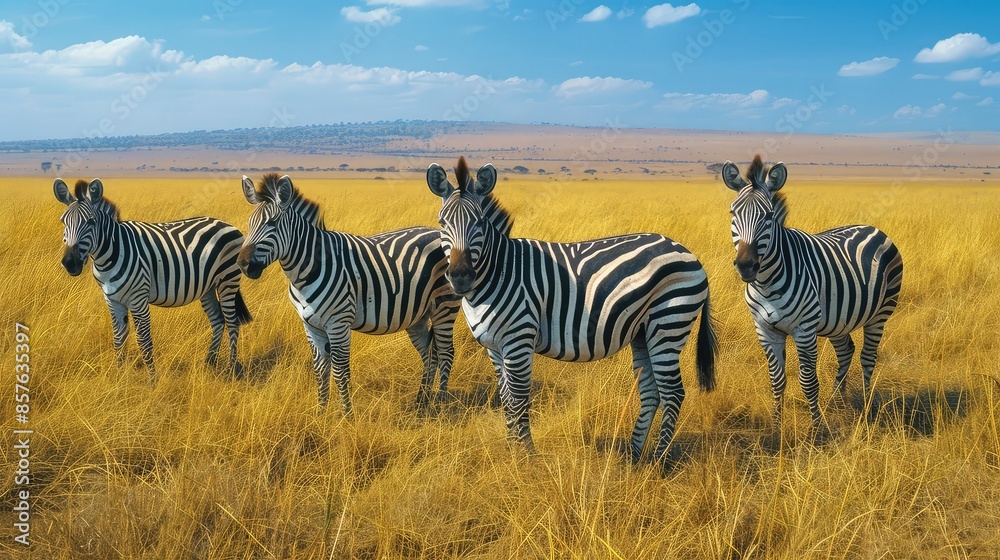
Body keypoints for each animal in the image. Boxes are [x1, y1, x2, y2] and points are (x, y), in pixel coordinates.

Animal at [54, 178, 252, 378]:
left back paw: (231, 368)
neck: (110, 254)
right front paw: (119, 375)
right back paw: (209, 362)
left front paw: (152, 379)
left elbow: (143, 340)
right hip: (208, 287)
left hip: (228, 280)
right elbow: (119, 338)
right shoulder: (112, 299)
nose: (70, 263)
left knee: (232, 322)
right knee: (217, 320)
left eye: (91, 221)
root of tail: (226, 224)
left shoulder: (138, 299)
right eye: (63, 221)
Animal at [236, 173, 462, 412]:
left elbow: (340, 371)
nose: (242, 264)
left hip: (445, 306)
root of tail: (439, 233)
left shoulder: (338, 323)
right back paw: (421, 403)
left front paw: (346, 414)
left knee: (446, 353)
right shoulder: (311, 326)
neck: (306, 270)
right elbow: (320, 370)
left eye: (272, 223)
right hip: (417, 315)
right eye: (249, 223)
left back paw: (441, 405)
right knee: (429, 354)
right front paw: (321, 412)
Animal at [427, 157, 717, 463]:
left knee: (673, 393)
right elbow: (505, 397)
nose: (460, 277)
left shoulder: (519, 338)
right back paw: (634, 457)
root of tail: (691, 254)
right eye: (441, 222)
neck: (499, 270)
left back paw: (659, 463)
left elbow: (518, 398)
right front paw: (511, 450)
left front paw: (526, 455)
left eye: (480, 222)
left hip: (668, 323)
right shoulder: (494, 346)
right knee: (651, 392)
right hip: (644, 331)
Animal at [722, 155, 904, 428]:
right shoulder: (764, 330)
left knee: (868, 357)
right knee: (846, 350)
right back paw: (836, 400)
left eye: (768, 216)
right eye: (733, 213)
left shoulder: (805, 329)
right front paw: (776, 425)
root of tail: (871, 227)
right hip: (839, 319)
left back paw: (865, 405)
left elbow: (808, 381)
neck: (766, 283)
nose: (746, 265)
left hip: (880, 313)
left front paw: (816, 427)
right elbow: (777, 380)